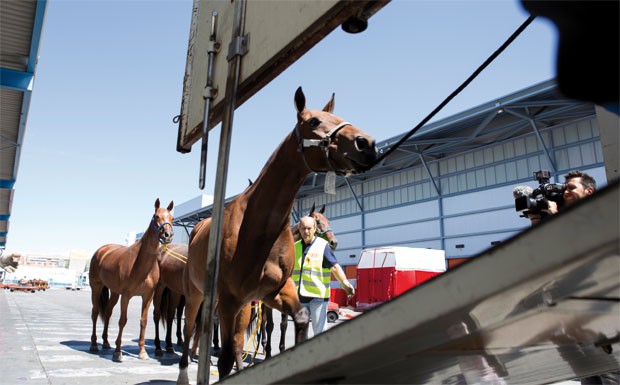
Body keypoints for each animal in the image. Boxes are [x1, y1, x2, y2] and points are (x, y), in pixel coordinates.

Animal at [89, 198, 174, 360]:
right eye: (156, 216)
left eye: (172, 218)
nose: (168, 234)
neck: (140, 264)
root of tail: (101, 251)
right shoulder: (126, 295)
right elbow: (123, 320)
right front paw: (118, 351)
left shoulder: (147, 296)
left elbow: (143, 321)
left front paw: (142, 351)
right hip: (96, 287)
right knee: (95, 313)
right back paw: (94, 344)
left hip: (114, 293)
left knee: (107, 312)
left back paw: (106, 342)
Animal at [260, 201, 340, 356]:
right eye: (317, 221)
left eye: (328, 221)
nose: (334, 242)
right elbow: (271, 325)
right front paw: (268, 353)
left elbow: (284, 325)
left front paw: (281, 348)